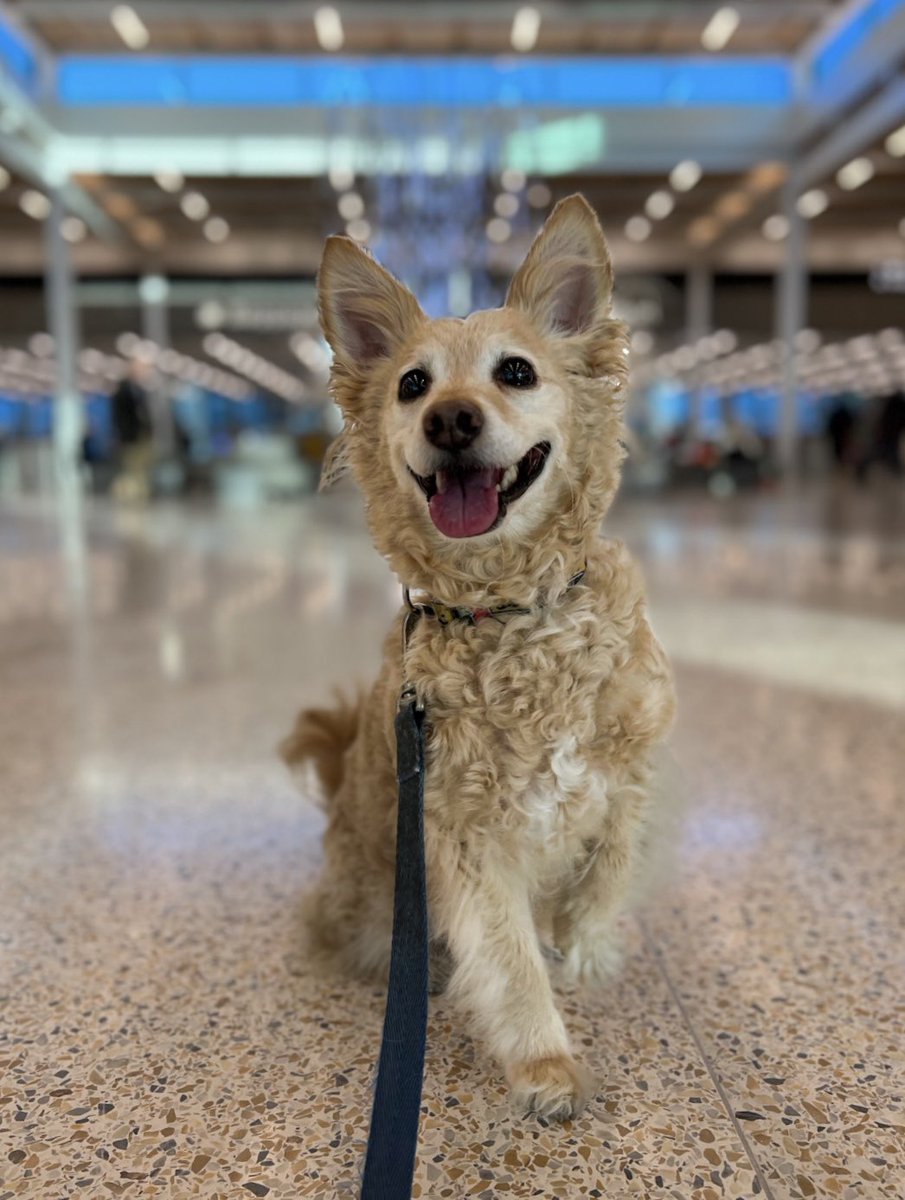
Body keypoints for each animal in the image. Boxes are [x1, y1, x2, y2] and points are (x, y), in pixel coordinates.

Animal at [278, 192, 672, 1118]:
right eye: (412, 384)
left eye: (516, 372)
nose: (450, 418)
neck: (511, 610)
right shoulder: (462, 831)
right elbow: (507, 955)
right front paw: (544, 1062)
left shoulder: (629, 773)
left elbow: (610, 867)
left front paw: (588, 947)